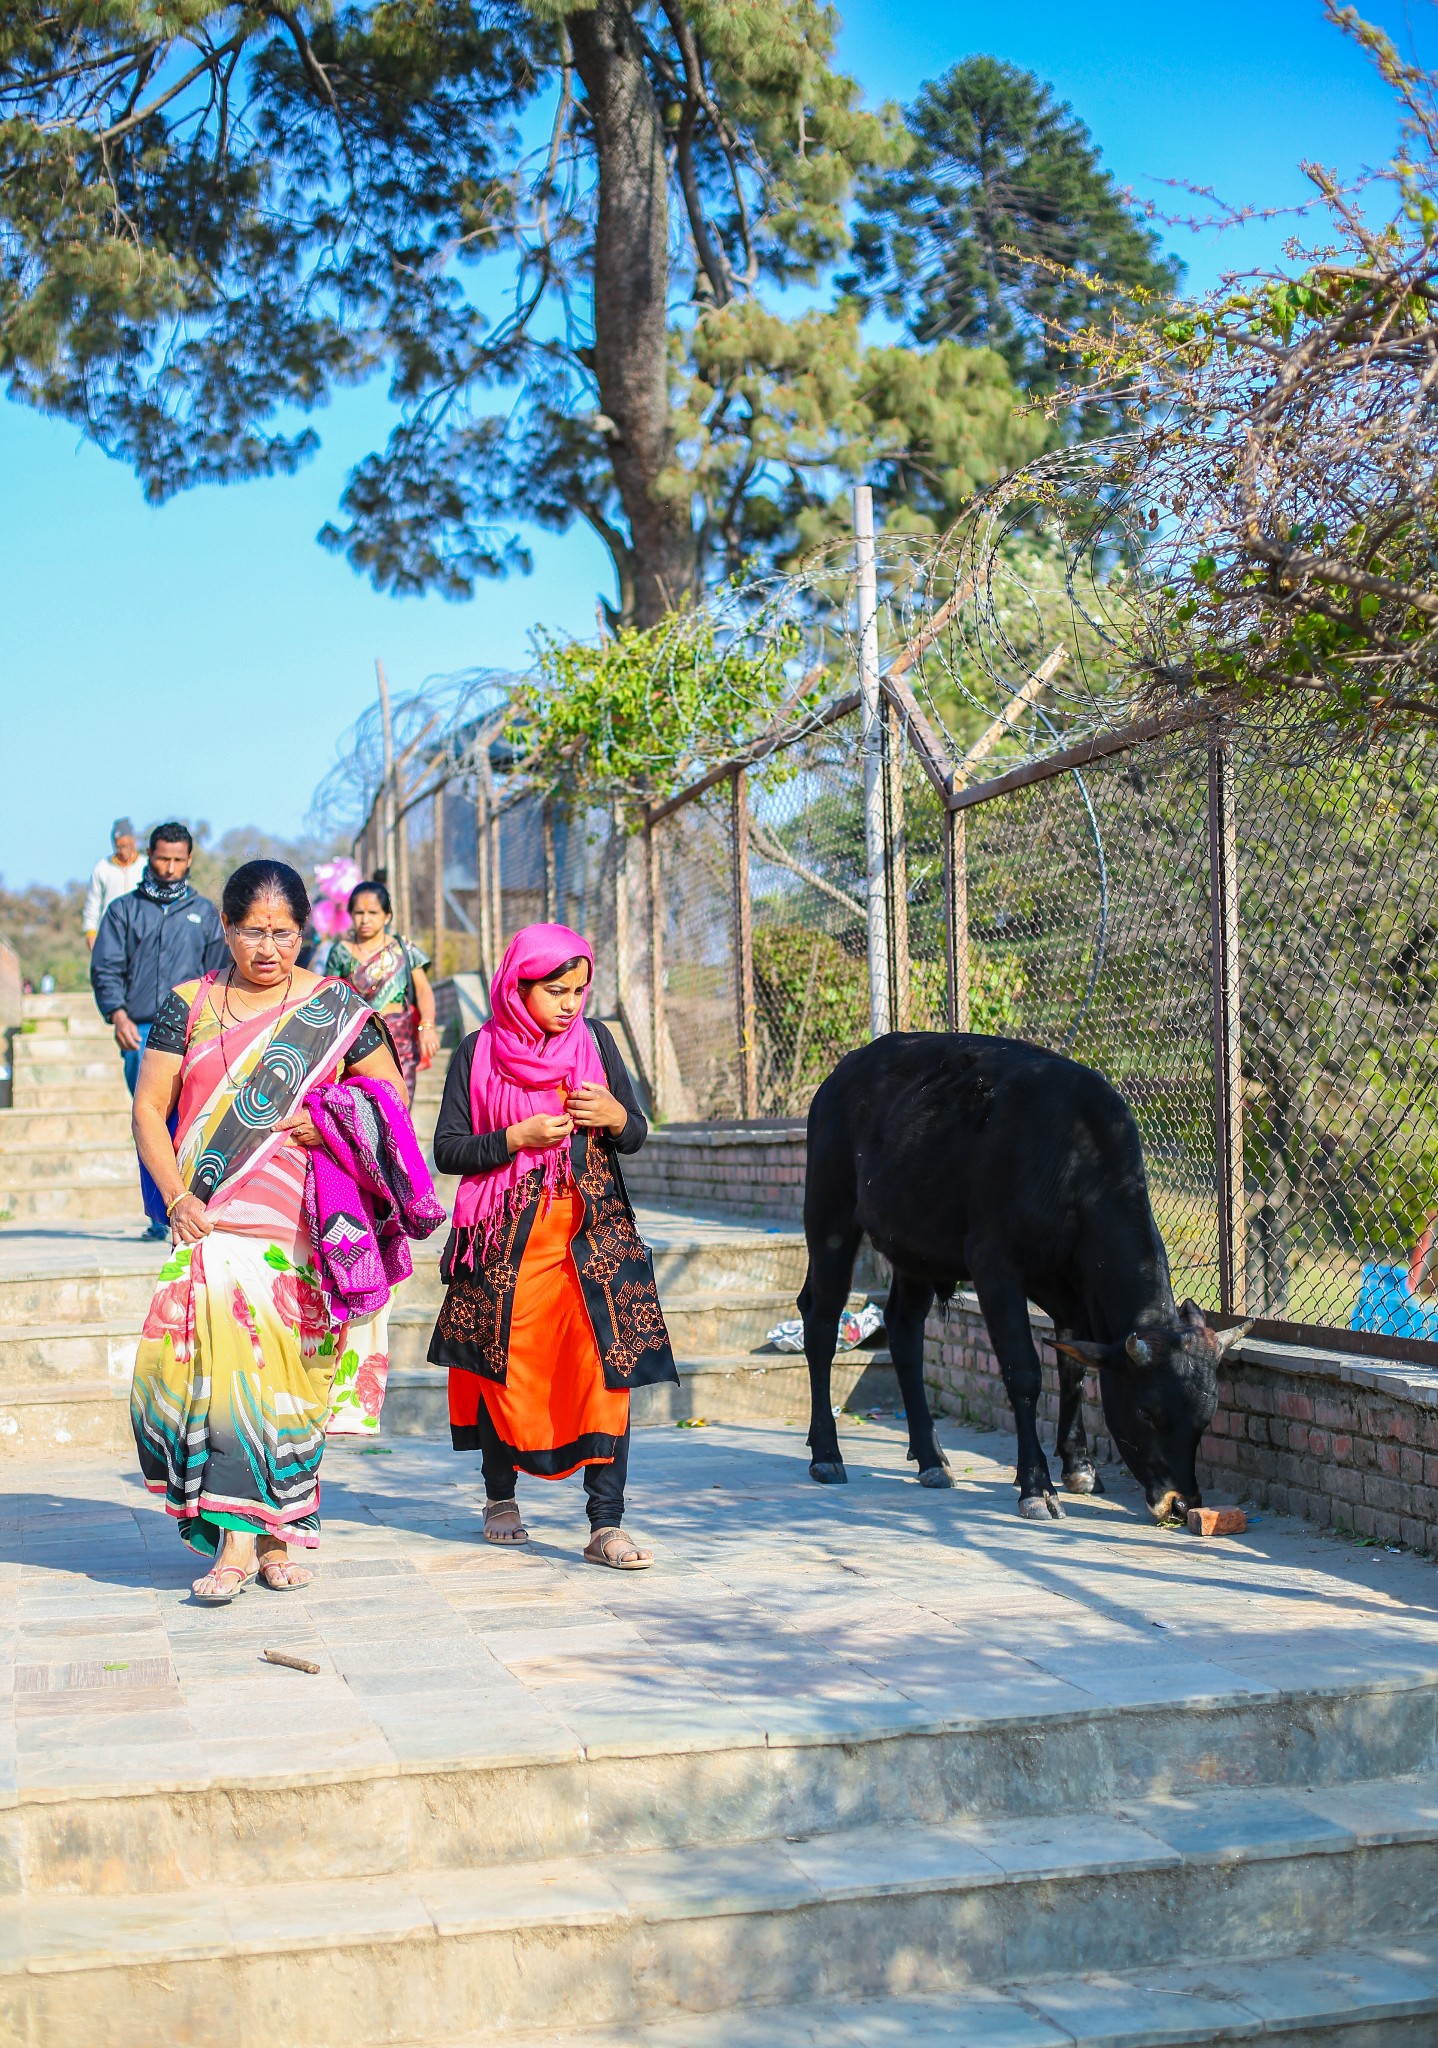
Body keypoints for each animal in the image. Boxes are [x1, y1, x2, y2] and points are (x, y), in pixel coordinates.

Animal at [798, 1040, 1253, 1523]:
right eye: (1147, 1412)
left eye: (1206, 1417)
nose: (1180, 1501)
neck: (1073, 1161)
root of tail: (844, 1071)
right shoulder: (995, 1267)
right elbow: (1024, 1374)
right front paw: (1036, 1484)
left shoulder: (1073, 1294)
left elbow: (1072, 1371)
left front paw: (1079, 1467)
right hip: (829, 1214)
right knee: (821, 1319)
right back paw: (826, 1454)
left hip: (913, 1250)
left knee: (904, 1332)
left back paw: (932, 1459)